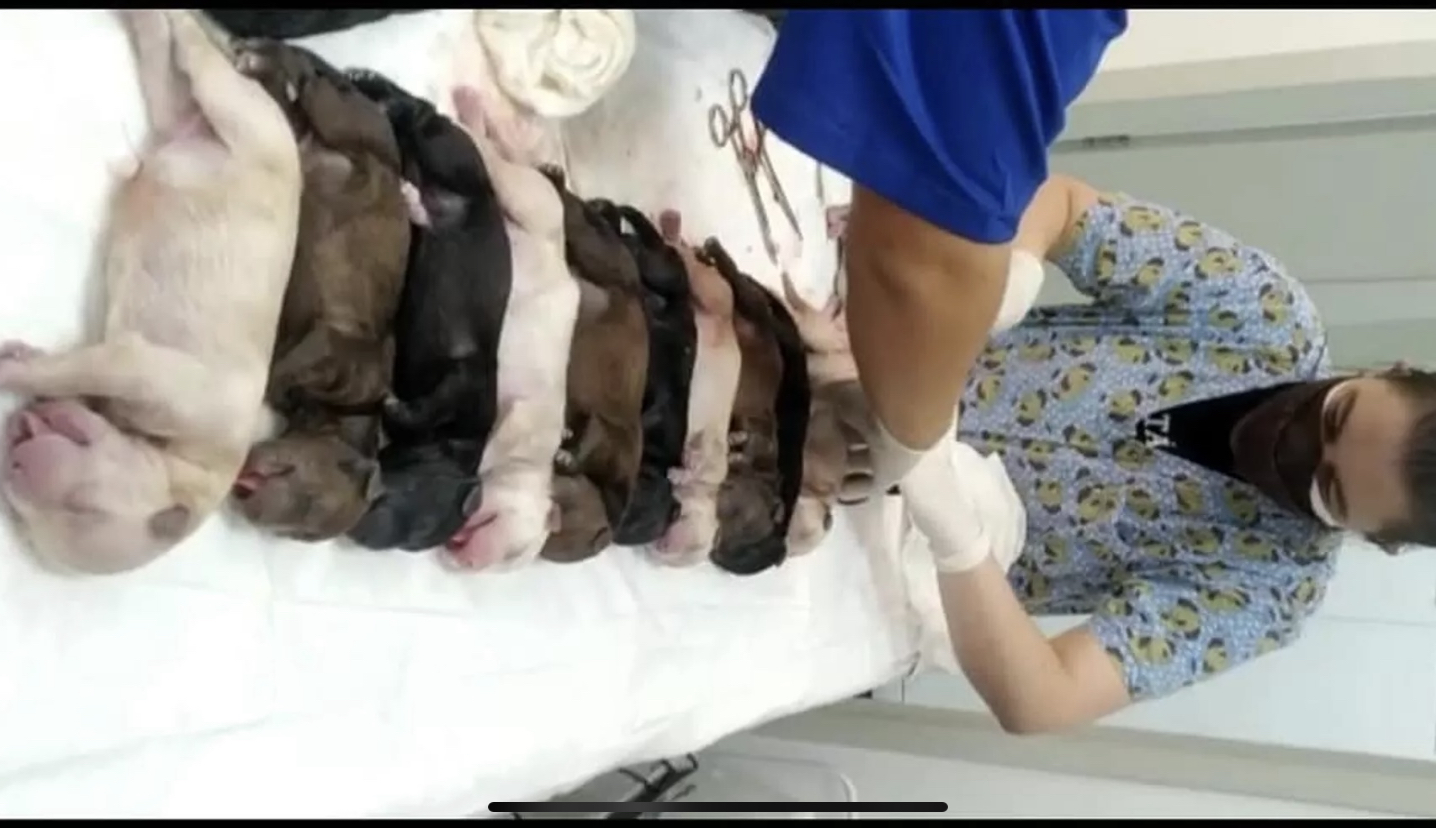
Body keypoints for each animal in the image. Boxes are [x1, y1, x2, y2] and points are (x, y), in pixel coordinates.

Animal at [0, 9, 301, 574]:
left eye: (77, 511)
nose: (14, 446)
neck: (182, 461)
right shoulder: (138, 370)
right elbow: (73, 369)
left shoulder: (119, 364)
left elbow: (61, 368)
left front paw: (20, 359)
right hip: (241, 115)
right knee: (198, 59)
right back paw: (179, 24)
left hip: (179, 112)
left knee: (164, 65)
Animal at [225, 39, 410, 542]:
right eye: (309, 500)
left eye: (298, 535)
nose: (244, 502)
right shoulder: (331, 341)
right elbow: (278, 374)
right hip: (344, 117)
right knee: (309, 81)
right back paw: (270, 58)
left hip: (308, 129)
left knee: (289, 101)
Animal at [340, 70, 511, 552]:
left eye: (414, 541)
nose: (356, 531)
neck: (456, 447)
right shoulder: (468, 381)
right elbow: (431, 403)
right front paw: (396, 407)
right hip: (457, 161)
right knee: (422, 117)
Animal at [442, 85, 579, 571]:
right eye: (517, 550)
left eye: (511, 563)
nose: (466, 562)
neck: (530, 467)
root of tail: (560, 249)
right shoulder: (524, 415)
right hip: (537, 203)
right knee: (500, 161)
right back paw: (469, 110)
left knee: (503, 157)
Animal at [650, 209, 743, 567]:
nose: (659, 547)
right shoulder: (714, 451)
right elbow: (707, 458)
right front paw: (683, 469)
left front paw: (678, 471)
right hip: (716, 296)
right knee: (693, 265)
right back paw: (672, 226)